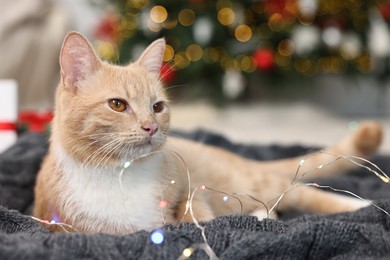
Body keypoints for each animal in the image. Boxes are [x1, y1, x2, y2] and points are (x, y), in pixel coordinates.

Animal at [32, 31, 380, 235]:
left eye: (157, 106)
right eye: (117, 105)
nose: (151, 126)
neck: (119, 174)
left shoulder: (191, 189)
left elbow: (195, 215)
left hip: (247, 182)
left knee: (299, 190)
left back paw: (359, 206)